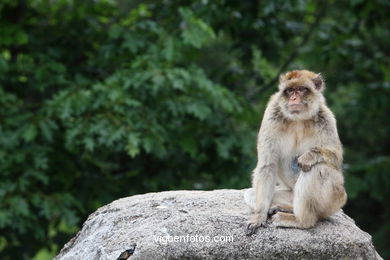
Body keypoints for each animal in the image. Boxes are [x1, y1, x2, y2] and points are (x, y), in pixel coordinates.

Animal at [244, 69, 348, 236]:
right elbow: (267, 166)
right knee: (250, 193)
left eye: (300, 89)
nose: (293, 98)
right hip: (290, 195)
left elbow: (336, 159)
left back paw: (301, 221)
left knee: (318, 168)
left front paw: (310, 156)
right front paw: (258, 216)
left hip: (335, 200)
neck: (298, 119)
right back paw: (285, 209)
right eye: (289, 90)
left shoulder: (326, 118)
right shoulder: (271, 115)